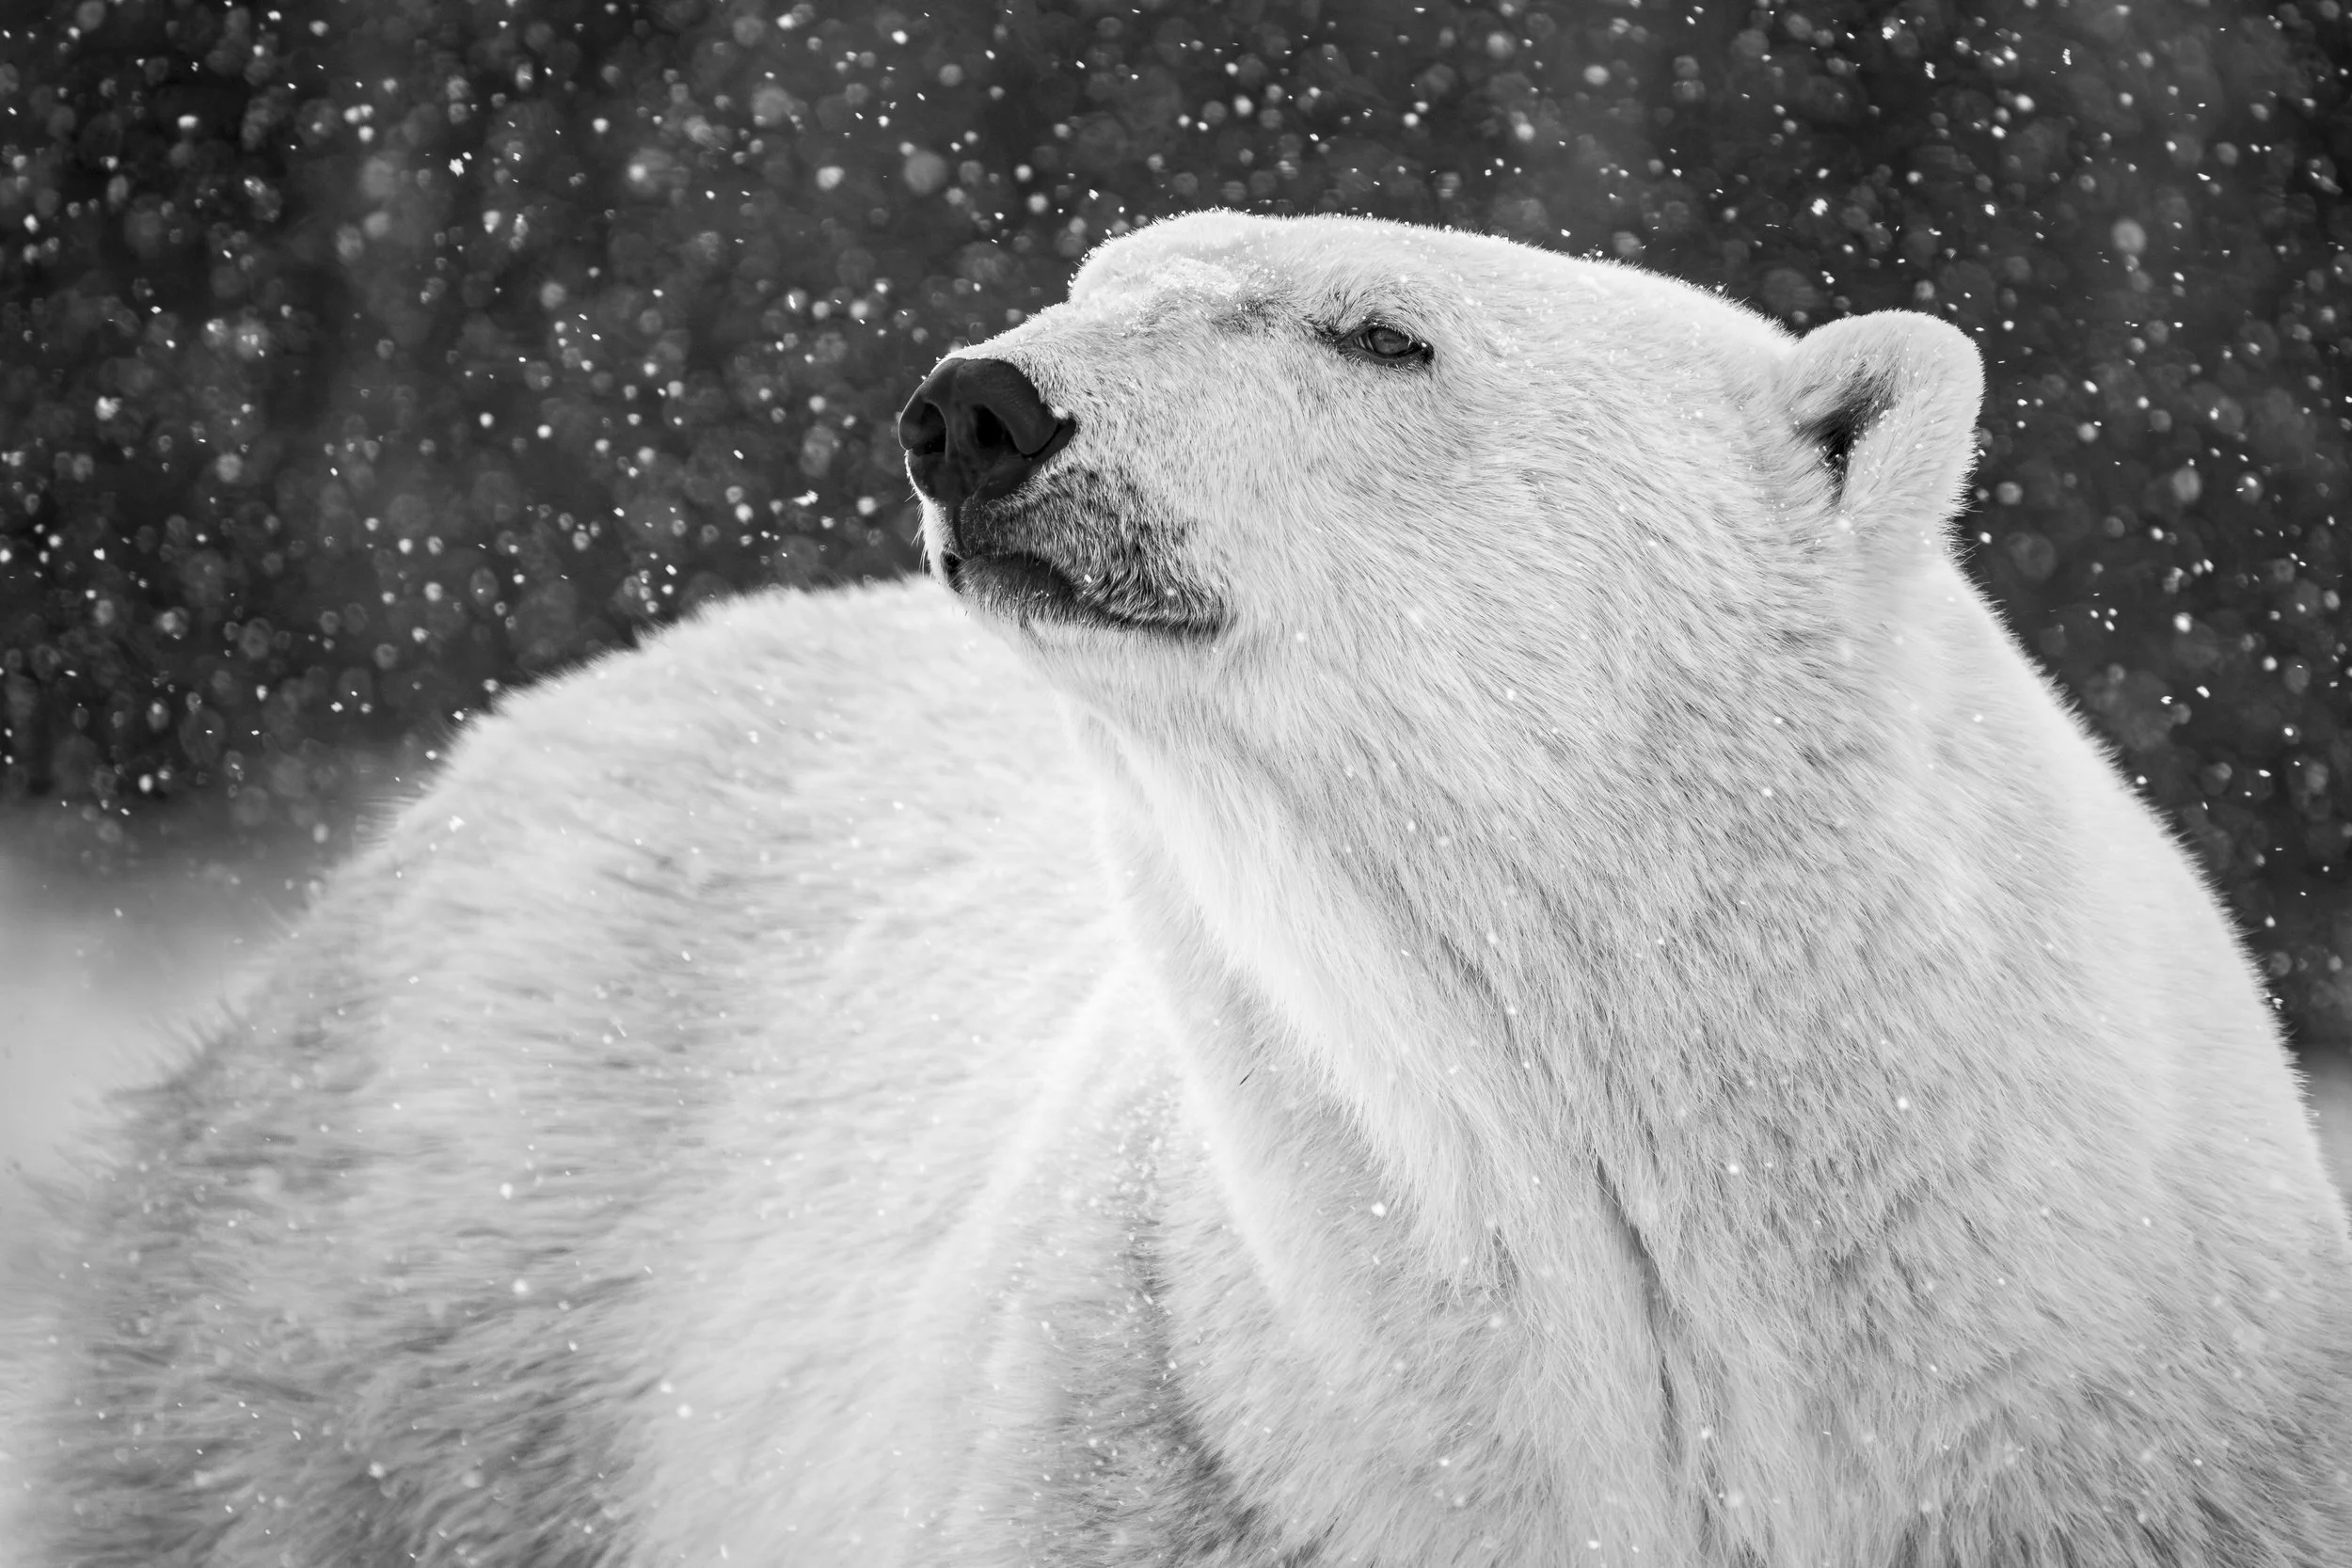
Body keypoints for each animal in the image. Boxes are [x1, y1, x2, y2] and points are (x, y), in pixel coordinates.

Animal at [7, 210, 2351, 1568]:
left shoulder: (2179, 1456)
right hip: (392, 1346)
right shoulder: (1185, 1438)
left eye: (1379, 332)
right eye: (1099, 278)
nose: (981, 404)